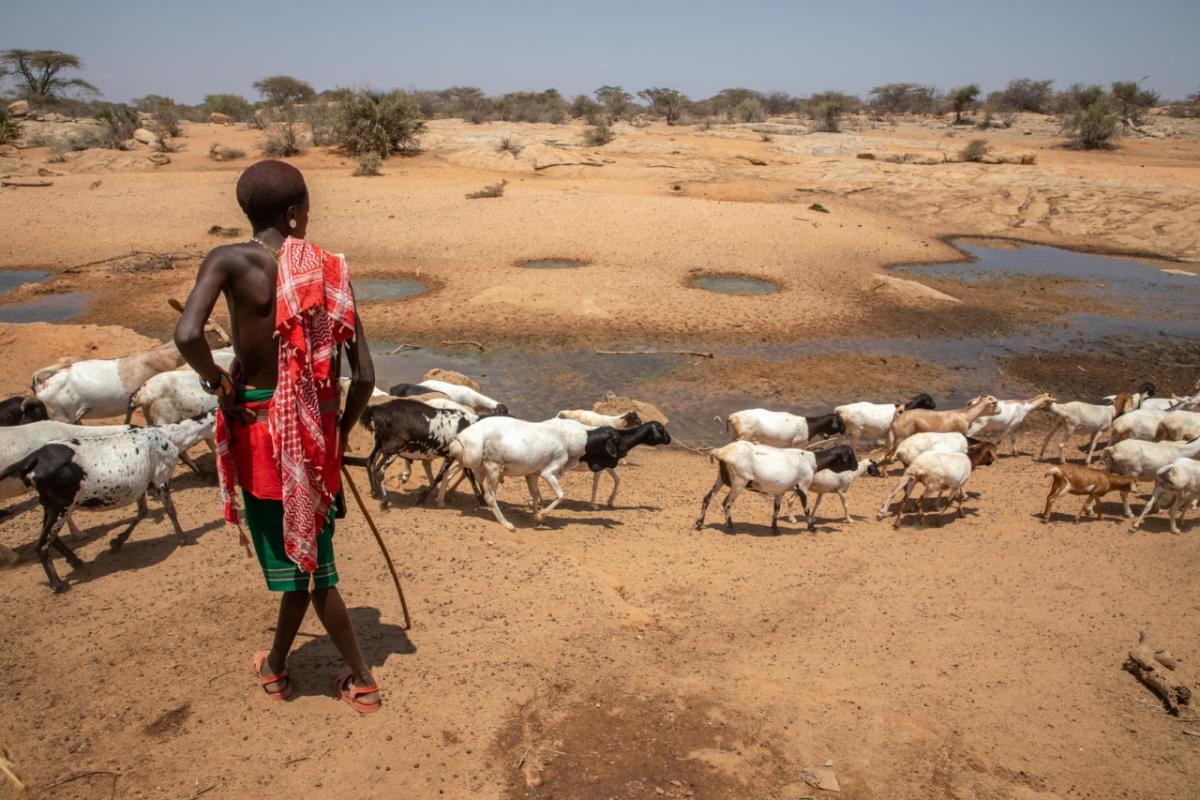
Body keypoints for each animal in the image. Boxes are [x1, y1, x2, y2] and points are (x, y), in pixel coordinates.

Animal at [0, 412, 213, 594]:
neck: (170, 436)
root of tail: (34, 460)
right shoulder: (161, 478)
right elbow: (170, 510)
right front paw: (184, 539)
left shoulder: (141, 486)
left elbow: (143, 512)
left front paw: (116, 542)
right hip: (61, 507)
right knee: (42, 545)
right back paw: (58, 584)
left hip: (50, 506)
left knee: (51, 539)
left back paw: (76, 561)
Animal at [436, 419, 619, 532]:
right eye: (614, 441)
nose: (615, 463)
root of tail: (459, 439)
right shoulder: (548, 472)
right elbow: (561, 495)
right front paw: (540, 515)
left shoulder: (532, 474)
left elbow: (535, 494)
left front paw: (537, 517)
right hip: (493, 467)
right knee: (489, 496)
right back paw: (507, 524)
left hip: (465, 460)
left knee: (448, 473)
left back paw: (440, 501)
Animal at [696, 441, 864, 534]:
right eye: (850, 454)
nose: (856, 466)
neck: (813, 461)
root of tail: (721, 452)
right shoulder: (802, 487)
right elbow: (806, 508)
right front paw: (812, 528)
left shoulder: (780, 490)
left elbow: (776, 509)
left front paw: (775, 529)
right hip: (739, 481)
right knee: (727, 503)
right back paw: (731, 528)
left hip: (721, 478)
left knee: (707, 497)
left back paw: (699, 523)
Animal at [715, 407, 849, 450]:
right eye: (840, 421)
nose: (844, 431)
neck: (809, 425)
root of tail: (733, 416)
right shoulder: (798, 444)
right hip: (744, 437)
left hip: (735, 436)